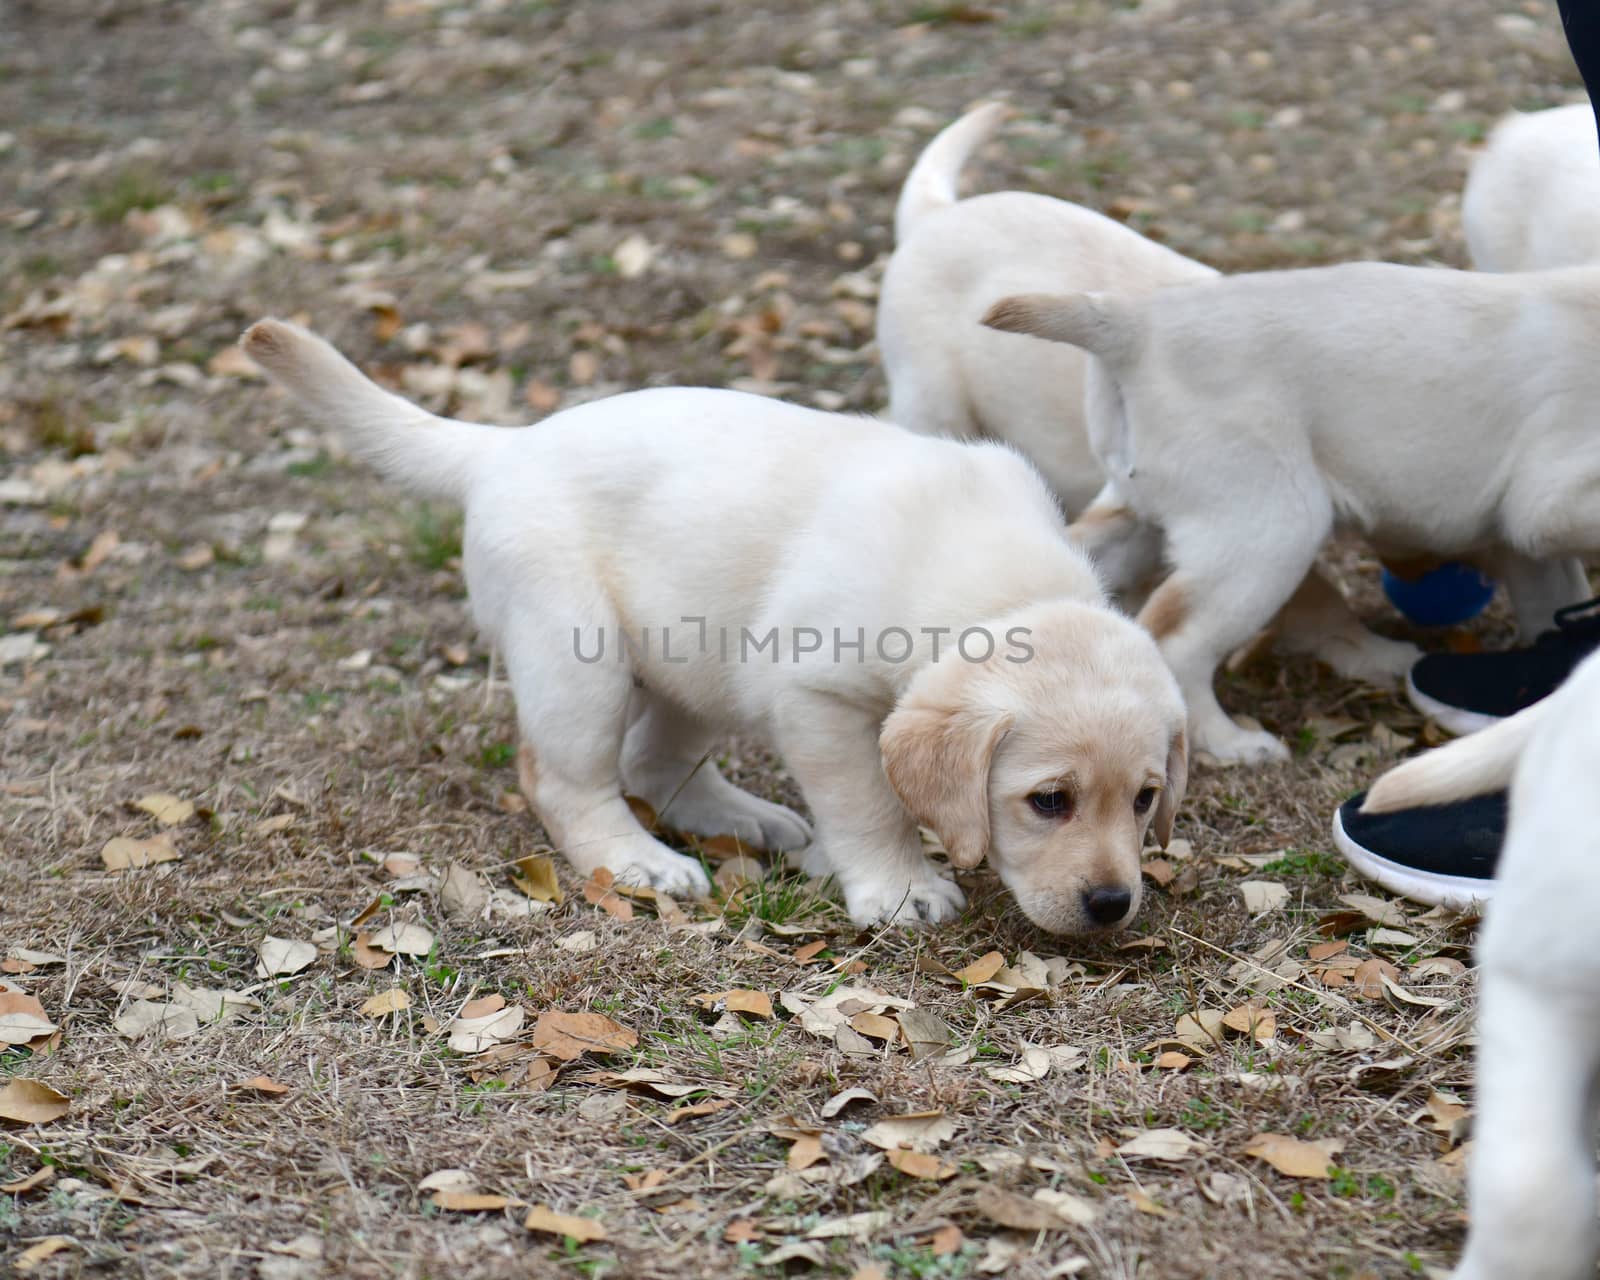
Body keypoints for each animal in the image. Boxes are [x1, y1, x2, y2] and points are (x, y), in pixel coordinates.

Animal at [240, 312, 1190, 928]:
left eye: (1147, 798)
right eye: (1049, 801)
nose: (1112, 905)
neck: (1004, 591)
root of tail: (508, 446)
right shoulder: (817, 696)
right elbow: (869, 802)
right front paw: (900, 888)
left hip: (698, 655)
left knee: (654, 760)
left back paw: (746, 821)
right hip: (577, 656)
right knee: (568, 778)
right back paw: (639, 860)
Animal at [979, 259, 1600, 761]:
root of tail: (1136, 323)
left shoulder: (1526, 544)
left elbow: (1556, 597)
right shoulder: (1546, 505)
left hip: (1142, 516)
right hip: (1271, 532)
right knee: (1178, 641)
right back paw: (1230, 744)